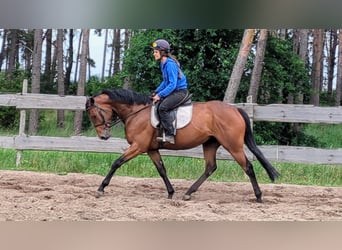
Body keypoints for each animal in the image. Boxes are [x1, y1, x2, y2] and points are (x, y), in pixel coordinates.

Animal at [85, 89, 278, 202]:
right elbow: (162, 170)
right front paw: (171, 192)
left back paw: (259, 196)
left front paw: (101, 188)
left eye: (93, 115)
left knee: (248, 167)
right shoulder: (151, 149)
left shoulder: (138, 147)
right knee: (210, 167)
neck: (136, 112)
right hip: (210, 144)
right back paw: (188, 192)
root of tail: (235, 109)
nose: (103, 136)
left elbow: (116, 163)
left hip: (233, 146)